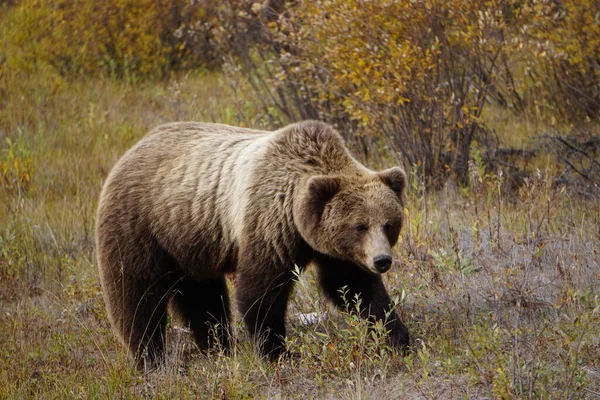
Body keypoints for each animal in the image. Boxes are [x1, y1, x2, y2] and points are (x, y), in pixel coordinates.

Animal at [96, 119, 410, 368]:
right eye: (360, 226)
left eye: (388, 224)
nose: (382, 260)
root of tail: (131, 150)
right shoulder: (268, 225)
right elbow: (261, 292)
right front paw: (277, 353)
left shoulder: (333, 250)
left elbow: (352, 287)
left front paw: (397, 336)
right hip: (141, 227)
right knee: (137, 296)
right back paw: (152, 358)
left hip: (190, 239)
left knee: (202, 297)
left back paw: (218, 347)